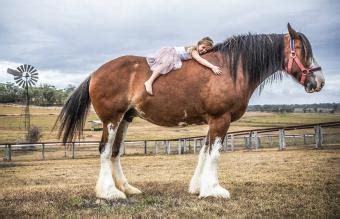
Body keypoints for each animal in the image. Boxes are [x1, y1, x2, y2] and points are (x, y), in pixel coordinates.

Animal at [55, 23, 324, 199]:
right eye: (303, 51)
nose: (319, 82)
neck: (230, 68)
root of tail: (96, 73)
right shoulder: (221, 119)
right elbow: (214, 154)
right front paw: (214, 190)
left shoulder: (213, 121)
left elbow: (204, 152)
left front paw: (198, 187)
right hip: (111, 119)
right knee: (104, 150)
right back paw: (110, 193)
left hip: (125, 119)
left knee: (115, 152)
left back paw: (127, 188)